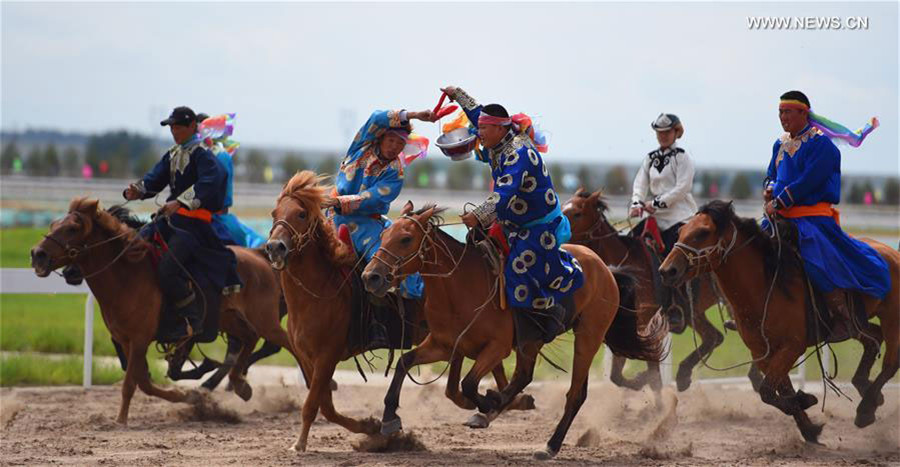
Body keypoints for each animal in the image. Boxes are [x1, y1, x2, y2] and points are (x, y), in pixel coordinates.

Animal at [29, 199, 304, 426]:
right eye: (53, 224)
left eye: (72, 229)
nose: (37, 254)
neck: (128, 274)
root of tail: (260, 255)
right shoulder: (125, 340)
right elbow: (143, 381)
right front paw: (186, 396)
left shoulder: (140, 338)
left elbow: (132, 383)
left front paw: (121, 419)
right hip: (229, 318)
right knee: (248, 339)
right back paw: (237, 384)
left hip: (264, 318)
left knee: (284, 343)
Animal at [262, 172, 528, 454]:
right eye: (274, 212)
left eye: (301, 214)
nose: (275, 247)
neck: (320, 289)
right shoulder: (308, 358)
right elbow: (326, 406)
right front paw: (369, 426)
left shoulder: (327, 356)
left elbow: (315, 405)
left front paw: (301, 443)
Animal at [360, 201, 668, 460]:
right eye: (384, 236)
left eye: (405, 238)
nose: (370, 276)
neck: (460, 285)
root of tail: (606, 268)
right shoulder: (444, 344)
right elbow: (405, 363)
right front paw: (389, 418)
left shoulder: (496, 347)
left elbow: (468, 384)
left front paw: (488, 403)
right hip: (532, 342)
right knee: (524, 375)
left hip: (588, 337)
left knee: (574, 395)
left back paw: (549, 444)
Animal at [564, 188, 760, 394]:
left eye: (577, 213)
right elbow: (617, 375)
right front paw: (642, 380)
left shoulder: (644, 323)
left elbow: (648, 371)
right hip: (695, 312)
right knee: (713, 336)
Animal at [656, 201, 896, 442]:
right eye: (680, 232)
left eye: (703, 232)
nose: (667, 270)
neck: (767, 285)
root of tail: (893, 253)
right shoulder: (763, 352)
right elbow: (778, 389)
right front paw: (808, 425)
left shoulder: (792, 346)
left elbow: (767, 391)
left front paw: (806, 403)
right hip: (860, 325)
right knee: (874, 339)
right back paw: (867, 391)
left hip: (892, 317)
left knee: (890, 363)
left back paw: (866, 408)